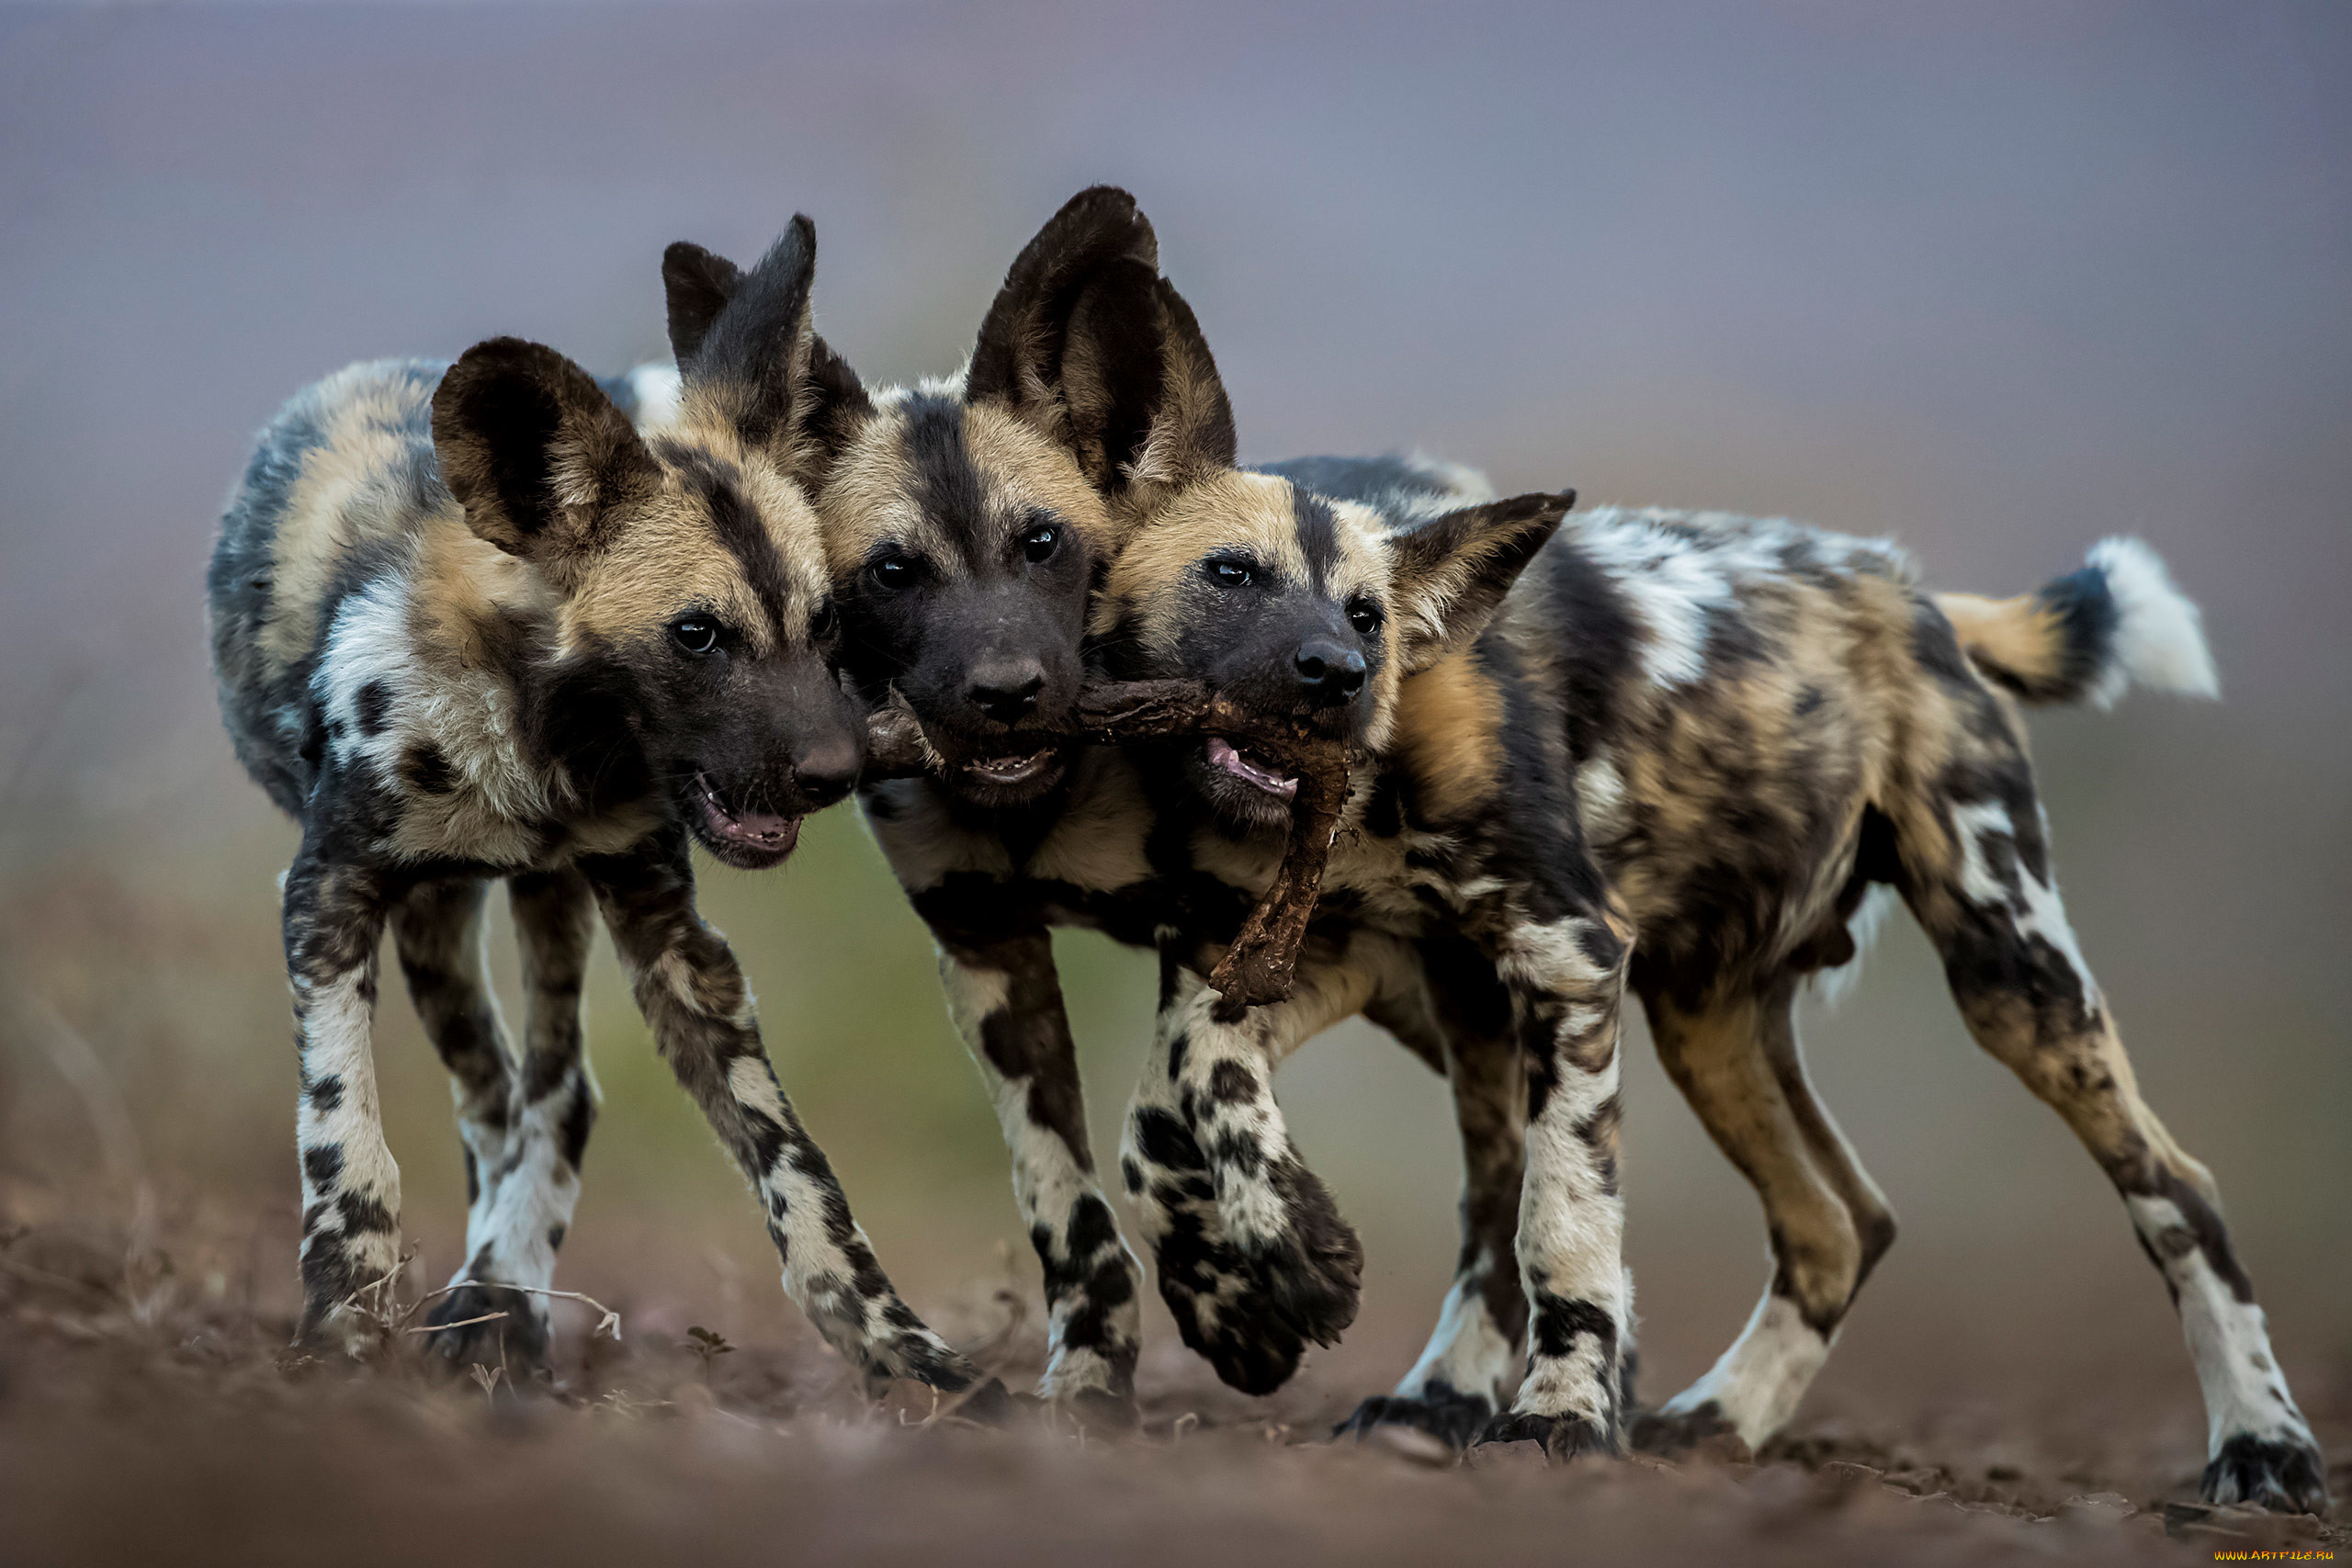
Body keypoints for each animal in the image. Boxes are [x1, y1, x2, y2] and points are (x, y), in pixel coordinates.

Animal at [209, 217, 1001, 1410]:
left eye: (828, 622)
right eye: (697, 636)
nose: (837, 771)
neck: (541, 757)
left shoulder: (667, 930)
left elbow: (796, 1167)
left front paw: (902, 1352)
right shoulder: (329, 898)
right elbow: (346, 1137)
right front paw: (343, 1323)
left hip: (536, 903)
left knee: (555, 1095)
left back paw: (504, 1297)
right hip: (440, 917)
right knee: (493, 1097)